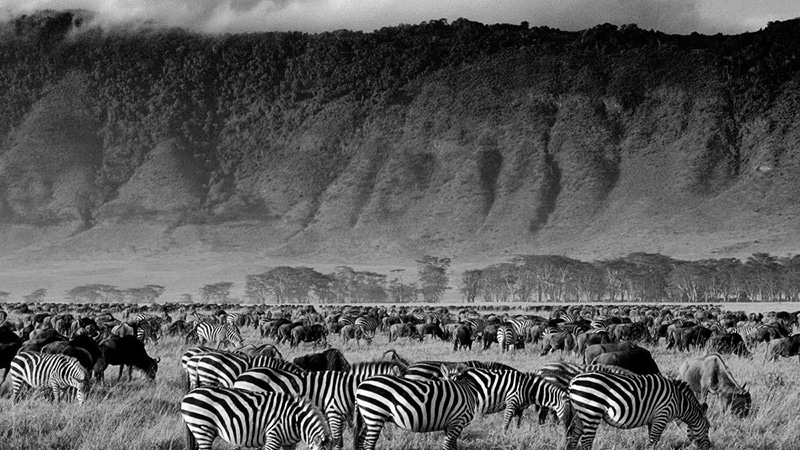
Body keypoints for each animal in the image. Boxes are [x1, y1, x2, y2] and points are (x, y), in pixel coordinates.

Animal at [354, 366, 490, 450]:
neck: (469, 390)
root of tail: (361, 384)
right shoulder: (458, 421)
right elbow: (448, 445)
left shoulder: (451, 424)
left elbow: (453, 446)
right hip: (375, 415)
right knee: (368, 444)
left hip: (368, 418)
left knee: (361, 440)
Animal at [564, 370, 708, 448]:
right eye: (708, 428)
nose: (709, 446)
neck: (679, 401)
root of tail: (573, 380)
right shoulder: (662, 415)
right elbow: (653, 441)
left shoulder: (653, 419)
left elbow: (652, 440)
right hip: (591, 412)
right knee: (586, 441)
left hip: (579, 414)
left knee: (573, 439)